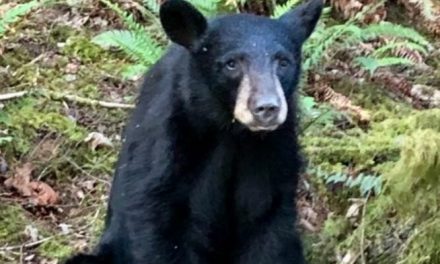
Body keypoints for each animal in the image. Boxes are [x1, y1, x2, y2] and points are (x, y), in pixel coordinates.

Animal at [67, 0, 324, 262]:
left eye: (283, 62)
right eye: (231, 63)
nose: (267, 107)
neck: (230, 130)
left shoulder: (274, 149)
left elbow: (266, 220)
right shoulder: (169, 139)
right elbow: (155, 218)